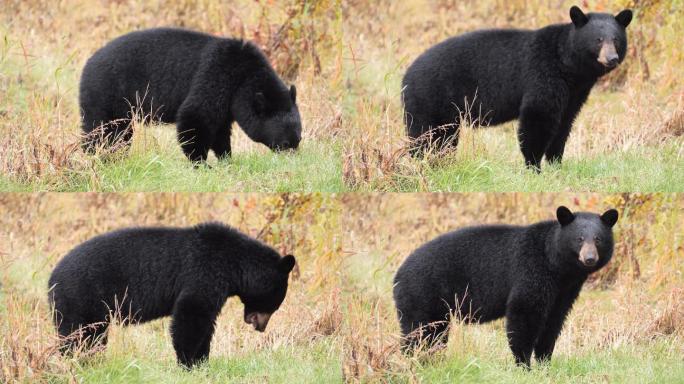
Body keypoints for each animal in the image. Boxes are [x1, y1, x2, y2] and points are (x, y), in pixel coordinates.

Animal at [48, 220, 294, 368]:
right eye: (275, 304)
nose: (260, 327)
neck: (235, 265)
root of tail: (52, 279)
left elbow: (206, 322)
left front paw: (202, 362)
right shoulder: (204, 272)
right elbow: (192, 314)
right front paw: (188, 362)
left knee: (93, 336)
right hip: (80, 298)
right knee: (75, 334)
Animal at [79, 27, 300, 163]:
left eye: (299, 139)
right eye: (284, 143)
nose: (294, 159)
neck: (243, 76)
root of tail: (88, 64)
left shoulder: (227, 102)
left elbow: (220, 129)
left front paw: (227, 159)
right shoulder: (215, 75)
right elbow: (195, 116)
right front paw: (201, 163)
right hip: (105, 95)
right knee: (100, 130)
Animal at [390, 206, 620, 368]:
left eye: (598, 239)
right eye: (579, 239)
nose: (589, 258)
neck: (558, 268)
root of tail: (398, 275)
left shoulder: (564, 292)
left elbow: (553, 323)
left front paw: (545, 363)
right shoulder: (531, 272)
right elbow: (523, 315)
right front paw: (524, 365)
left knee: (435, 334)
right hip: (421, 295)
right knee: (417, 332)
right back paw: (413, 361)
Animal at [404, 6, 632, 169]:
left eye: (616, 40)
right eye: (598, 40)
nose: (612, 58)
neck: (569, 66)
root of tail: (407, 75)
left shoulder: (575, 92)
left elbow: (564, 123)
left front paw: (556, 163)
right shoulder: (543, 74)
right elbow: (538, 116)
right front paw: (533, 166)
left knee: (445, 137)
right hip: (429, 97)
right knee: (422, 134)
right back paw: (420, 162)